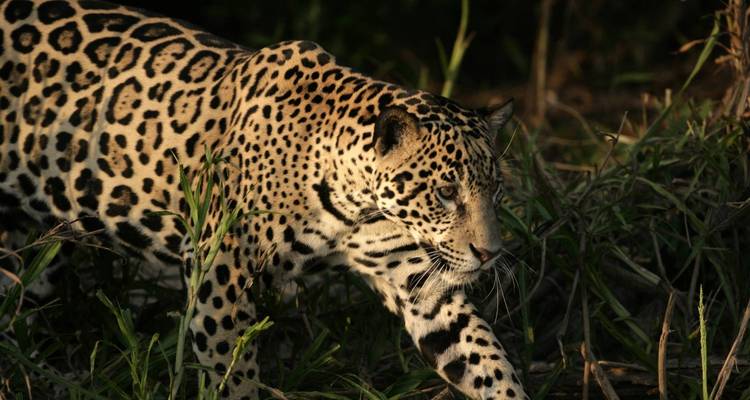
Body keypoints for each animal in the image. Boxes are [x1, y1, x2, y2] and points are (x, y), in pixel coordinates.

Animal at [0, 1, 528, 399]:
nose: (491, 254)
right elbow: (231, 372)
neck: (354, 202)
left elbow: (485, 359)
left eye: (496, 192)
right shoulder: (219, 268)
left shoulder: (420, 284)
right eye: (445, 192)